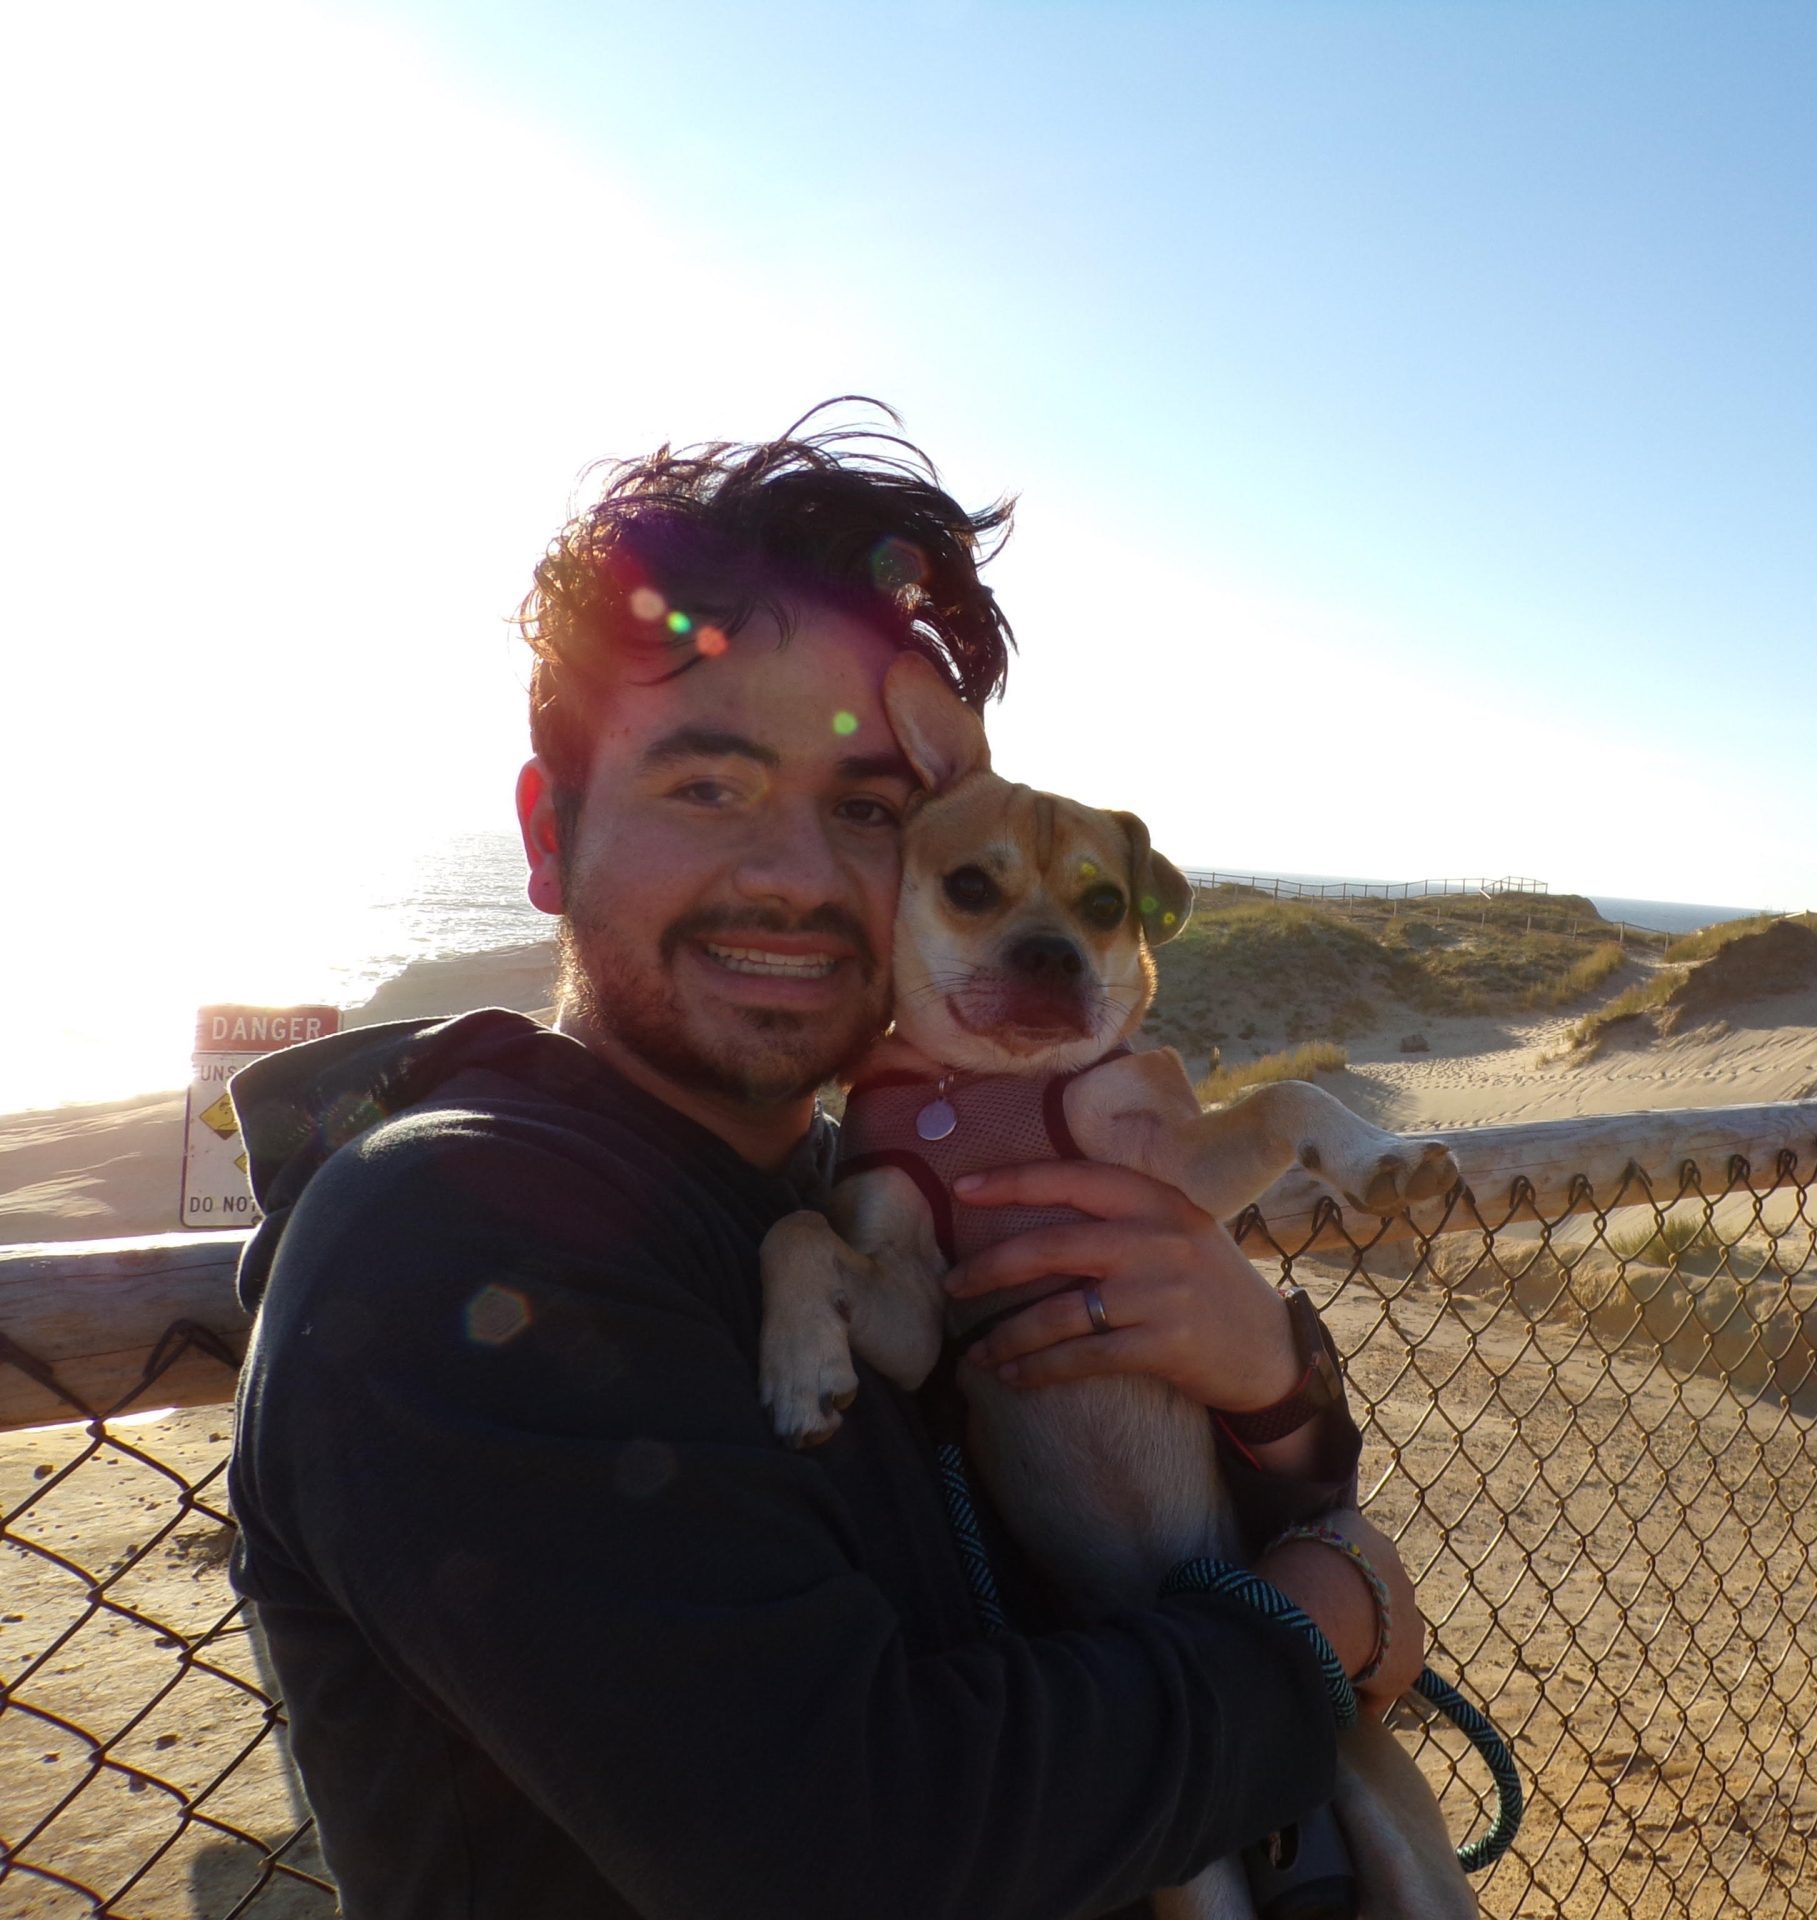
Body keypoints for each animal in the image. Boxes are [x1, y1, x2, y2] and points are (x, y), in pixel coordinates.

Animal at [756, 660, 1482, 1920]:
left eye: (1105, 907)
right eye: (968, 885)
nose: (1053, 954)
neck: (982, 1091)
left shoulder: (1172, 1169)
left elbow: (1287, 1095)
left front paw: (1379, 1162)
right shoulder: (913, 1309)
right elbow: (797, 1232)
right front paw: (800, 1370)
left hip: (1408, 1854)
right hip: (1194, 1881)